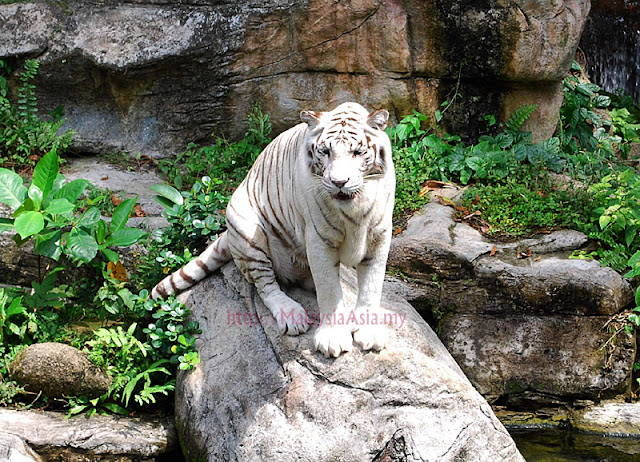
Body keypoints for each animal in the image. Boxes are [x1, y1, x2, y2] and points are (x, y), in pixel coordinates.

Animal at [154, 103, 396, 358]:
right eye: (325, 152)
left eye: (357, 153)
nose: (339, 182)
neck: (355, 210)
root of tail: (227, 232)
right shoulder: (319, 239)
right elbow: (329, 289)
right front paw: (333, 338)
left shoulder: (380, 235)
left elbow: (371, 285)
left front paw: (369, 331)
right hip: (249, 234)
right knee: (266, 286)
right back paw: (293, 315)